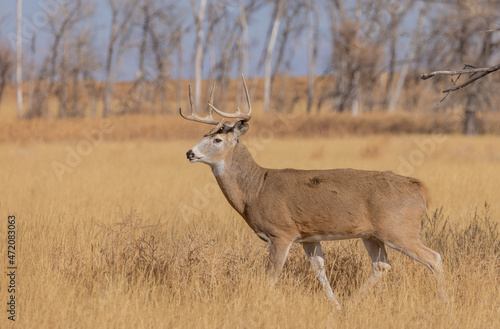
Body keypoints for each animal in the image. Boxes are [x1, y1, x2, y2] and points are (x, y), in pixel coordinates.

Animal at [180, 74, 446, 308]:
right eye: (204, 134)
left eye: (217, 140)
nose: (190, 153)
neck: (254, 189)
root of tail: (419, 189)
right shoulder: (309, 237)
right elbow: (320, 271)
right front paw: (336, 307)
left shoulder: (281, 233)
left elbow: (272, 276)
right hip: (372, 234)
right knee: (382, 265)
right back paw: (352, 305)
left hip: (398, 228)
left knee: (434, 258)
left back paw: (445, 304)